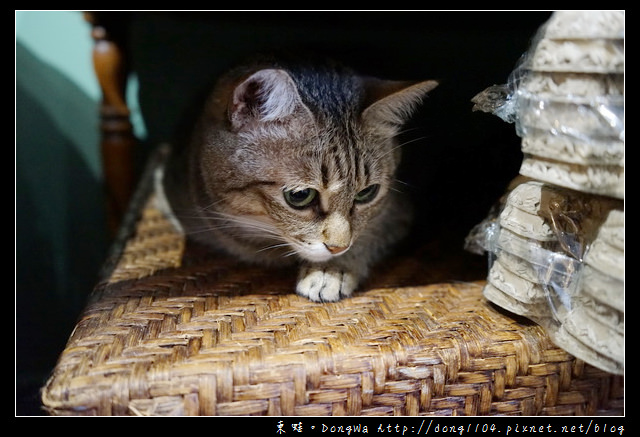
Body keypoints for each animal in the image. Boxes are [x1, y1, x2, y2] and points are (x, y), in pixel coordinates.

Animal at [159, 53, 438, 300]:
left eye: (367, 193)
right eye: (300, 196)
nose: (338, 247)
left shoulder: (398, 210)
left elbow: (371, 233)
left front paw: (331, 270)